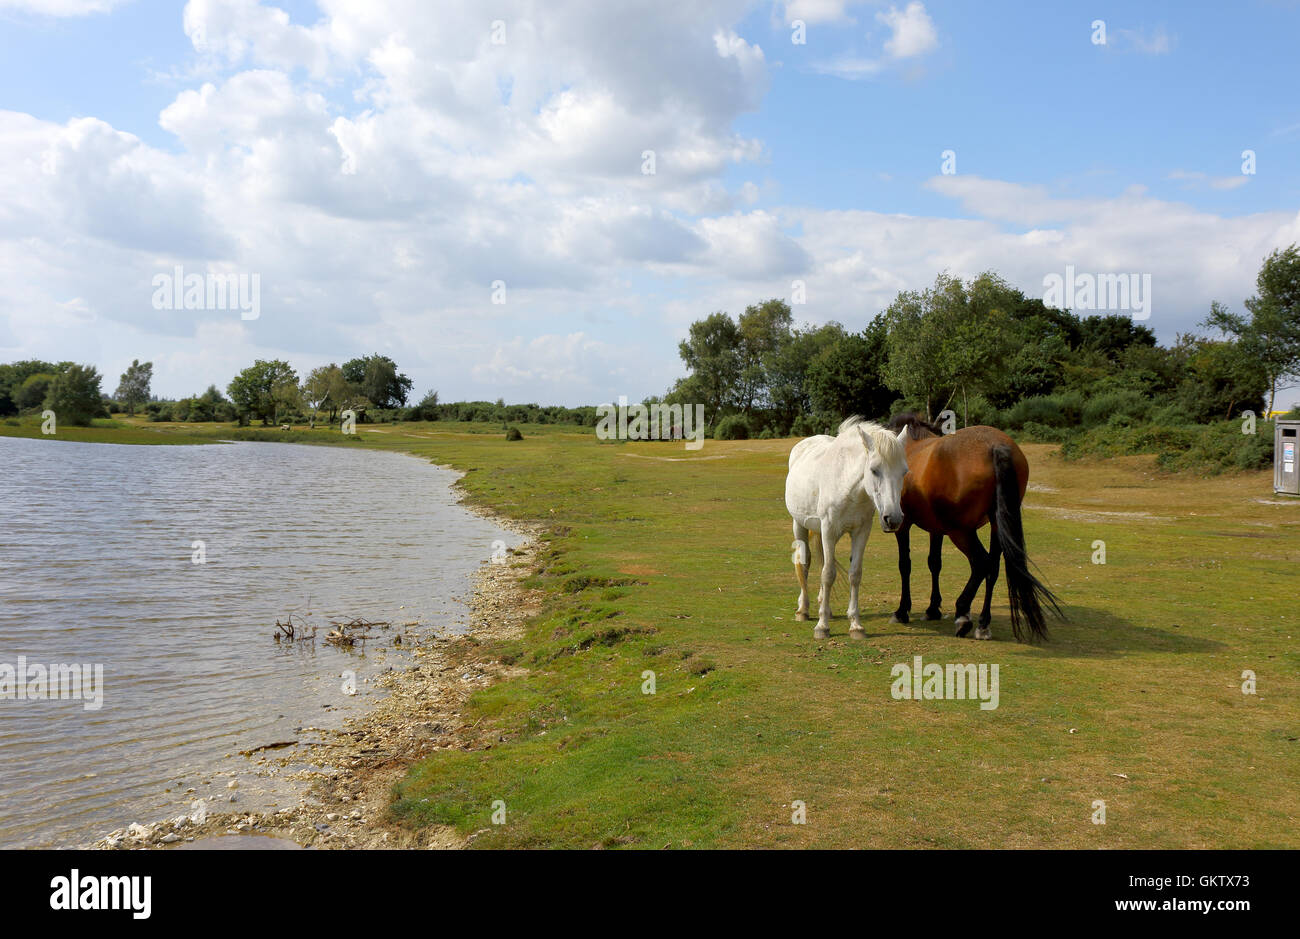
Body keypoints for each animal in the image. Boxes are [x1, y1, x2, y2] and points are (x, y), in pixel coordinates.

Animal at [785, 416, 910, 640]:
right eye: (874, 470)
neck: (848, 485)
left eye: (904, 472)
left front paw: (856, 625)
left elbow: (854, 574)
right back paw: (803, 610)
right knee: (804, 564)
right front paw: (822, 627)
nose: (893, 518)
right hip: (799, 525)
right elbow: (828, 574)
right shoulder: (828, 530)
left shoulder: (861, 532)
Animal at [884, 412, 1062, 642]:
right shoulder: (936, 529)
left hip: (961, 532)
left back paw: (963, 615)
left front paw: (902, 611)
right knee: (992, 568)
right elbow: (934, 563)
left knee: (981, 563)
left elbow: (905, 565)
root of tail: (996, 446)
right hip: (995, 526)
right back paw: (983, 623)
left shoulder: (903, 526)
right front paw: (933, 609)